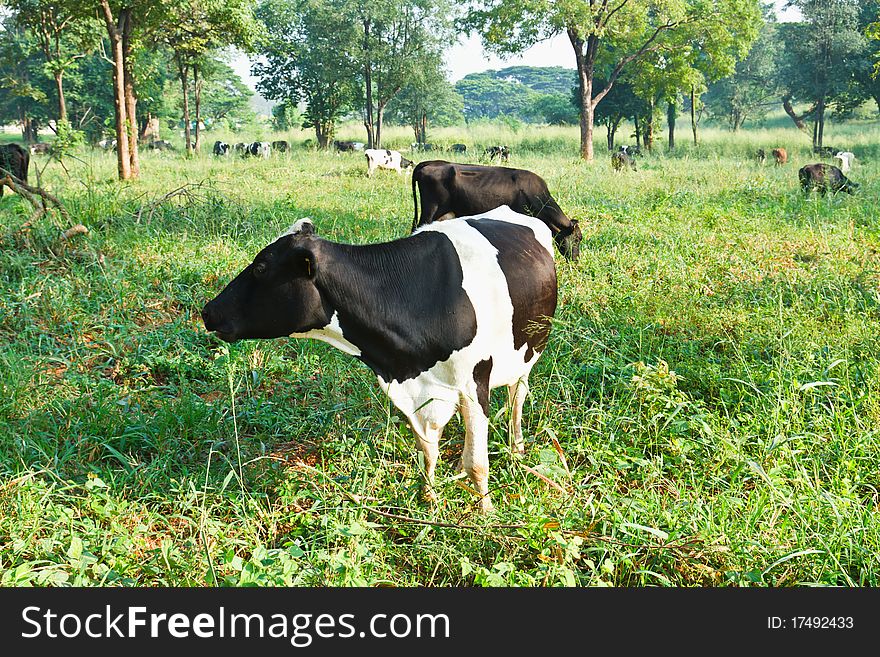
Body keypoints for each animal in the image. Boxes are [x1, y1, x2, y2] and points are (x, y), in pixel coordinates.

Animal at [203, 202, 552, 510]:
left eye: (261, 267)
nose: (208, 311)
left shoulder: (474, 380)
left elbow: (476, 462)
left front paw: (485, 512)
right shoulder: (417, 390)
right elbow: (428, 450)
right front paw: (430, 498)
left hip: (527, 353)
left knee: (517, 398)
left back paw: (517, 449)